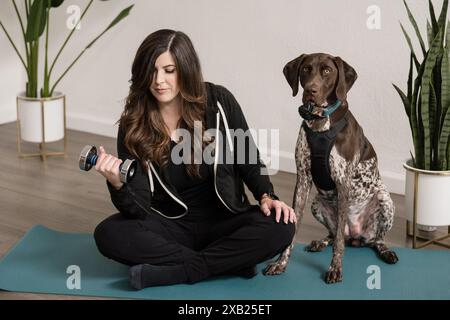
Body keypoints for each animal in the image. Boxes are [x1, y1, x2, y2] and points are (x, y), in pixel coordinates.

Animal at [264, 53, 398, 284]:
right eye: (306, 69)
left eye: (327, 71)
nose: (311, 90)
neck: (320, 123)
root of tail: (356, 236)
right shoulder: (303, 180)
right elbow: (294, 229)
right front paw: (281, 263)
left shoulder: (343, 183)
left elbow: (339, 245)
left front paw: (335, 268)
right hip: (316, 203)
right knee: (335, 234)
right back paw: (320, 242)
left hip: (384, 200)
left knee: (372, 239)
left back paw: (385, 250)